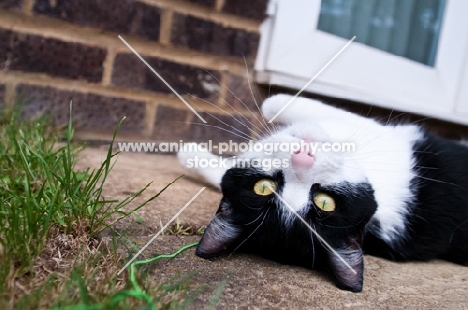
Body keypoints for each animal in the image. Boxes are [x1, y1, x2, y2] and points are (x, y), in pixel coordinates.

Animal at [176, 93, 468, 292]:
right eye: (264, 188)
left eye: (325, 202)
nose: (302, 156)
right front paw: (190, 154)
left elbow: (271, 102)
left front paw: (190, 153)